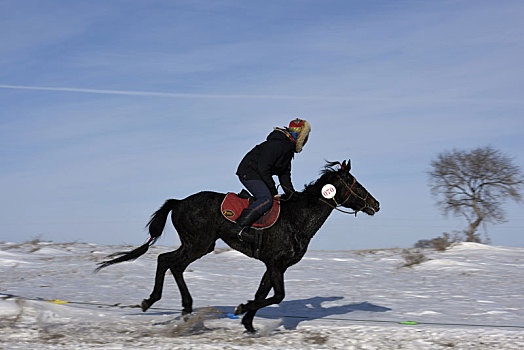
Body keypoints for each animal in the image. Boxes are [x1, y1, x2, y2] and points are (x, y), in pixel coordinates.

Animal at [97, 160, 376, 332]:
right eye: (355, 184)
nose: (376, 204)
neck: (297, 218)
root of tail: (179, 202)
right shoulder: (276, 263)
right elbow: (277, 295)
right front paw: (242, 310)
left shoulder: (275, 265)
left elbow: (263, 293)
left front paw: (249, 324)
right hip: (198, 244)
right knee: (166, 261)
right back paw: (153, 301)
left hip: (198, 245)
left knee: (171, 264)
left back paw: (185, 309)